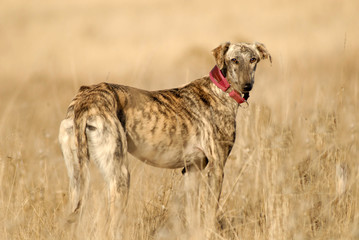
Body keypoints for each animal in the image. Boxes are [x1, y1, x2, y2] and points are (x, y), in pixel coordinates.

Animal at [59, 41, 272, 236]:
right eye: (234, 60)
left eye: (253, 59)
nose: (247, 86)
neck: (220, 89)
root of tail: (86, 100)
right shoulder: (217, 168)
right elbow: (210, 212)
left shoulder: (192, 169)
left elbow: (193, 214)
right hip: (119, 175)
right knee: (112, 227)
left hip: (76, 177)